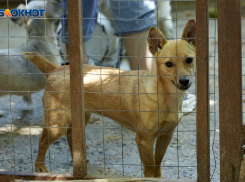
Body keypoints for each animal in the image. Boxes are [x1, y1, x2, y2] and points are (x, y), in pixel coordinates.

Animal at [23, 19, 195, 178]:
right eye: (168, 64)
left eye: (189, 60)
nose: (184, 81)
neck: (167, 96)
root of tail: (55, 69)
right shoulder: (144, 141)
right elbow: (149, 168)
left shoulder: (166, 135)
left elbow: (158, 163)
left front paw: (158, 178)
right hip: (56, 125)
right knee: (42, 141)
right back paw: (39, 167)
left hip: (80, 118)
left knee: (71, 136)